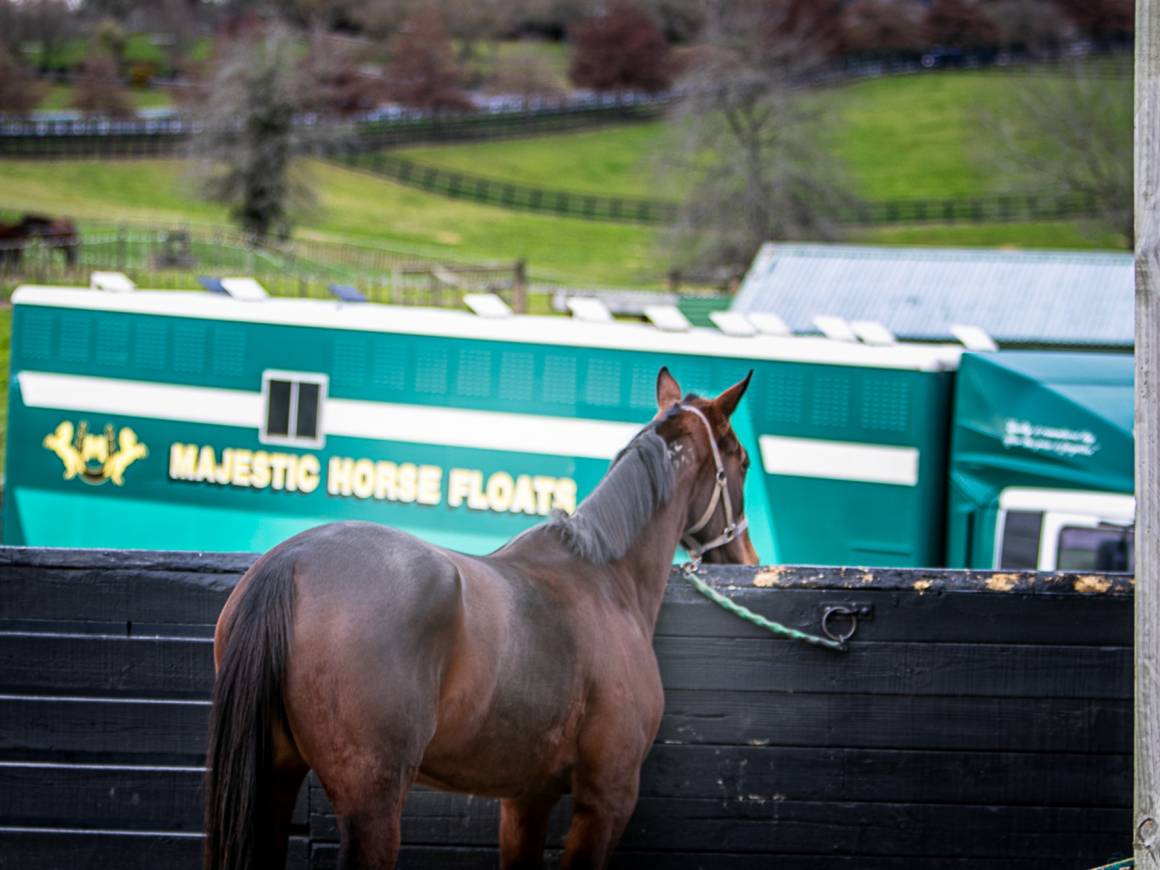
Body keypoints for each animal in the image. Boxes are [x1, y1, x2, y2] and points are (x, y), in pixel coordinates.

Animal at [204, 368, 756, 870]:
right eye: (744, 461)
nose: (745, 555)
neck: (605, 578)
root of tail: (292, 561)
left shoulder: (525, 801)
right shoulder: (606, 801)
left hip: (274, 783)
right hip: (373, 804)